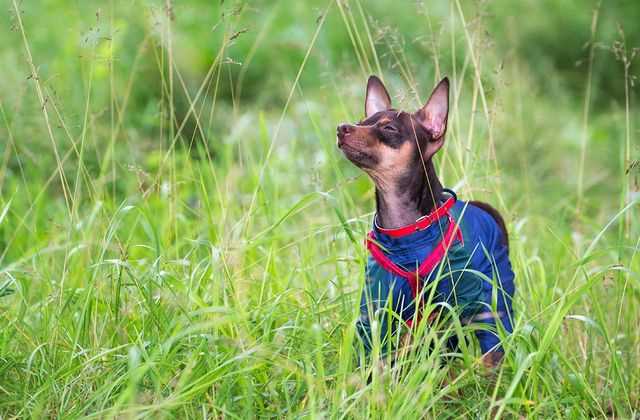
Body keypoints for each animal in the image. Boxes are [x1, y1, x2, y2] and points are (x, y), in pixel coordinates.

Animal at [336, 75, 516, 368]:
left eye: (389, 128)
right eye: (361, 121)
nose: (342, 128)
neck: (405, 232)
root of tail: (484, 208)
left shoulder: (463, 305)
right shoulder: (377, 312)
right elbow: (375, 362)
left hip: (493, 296)